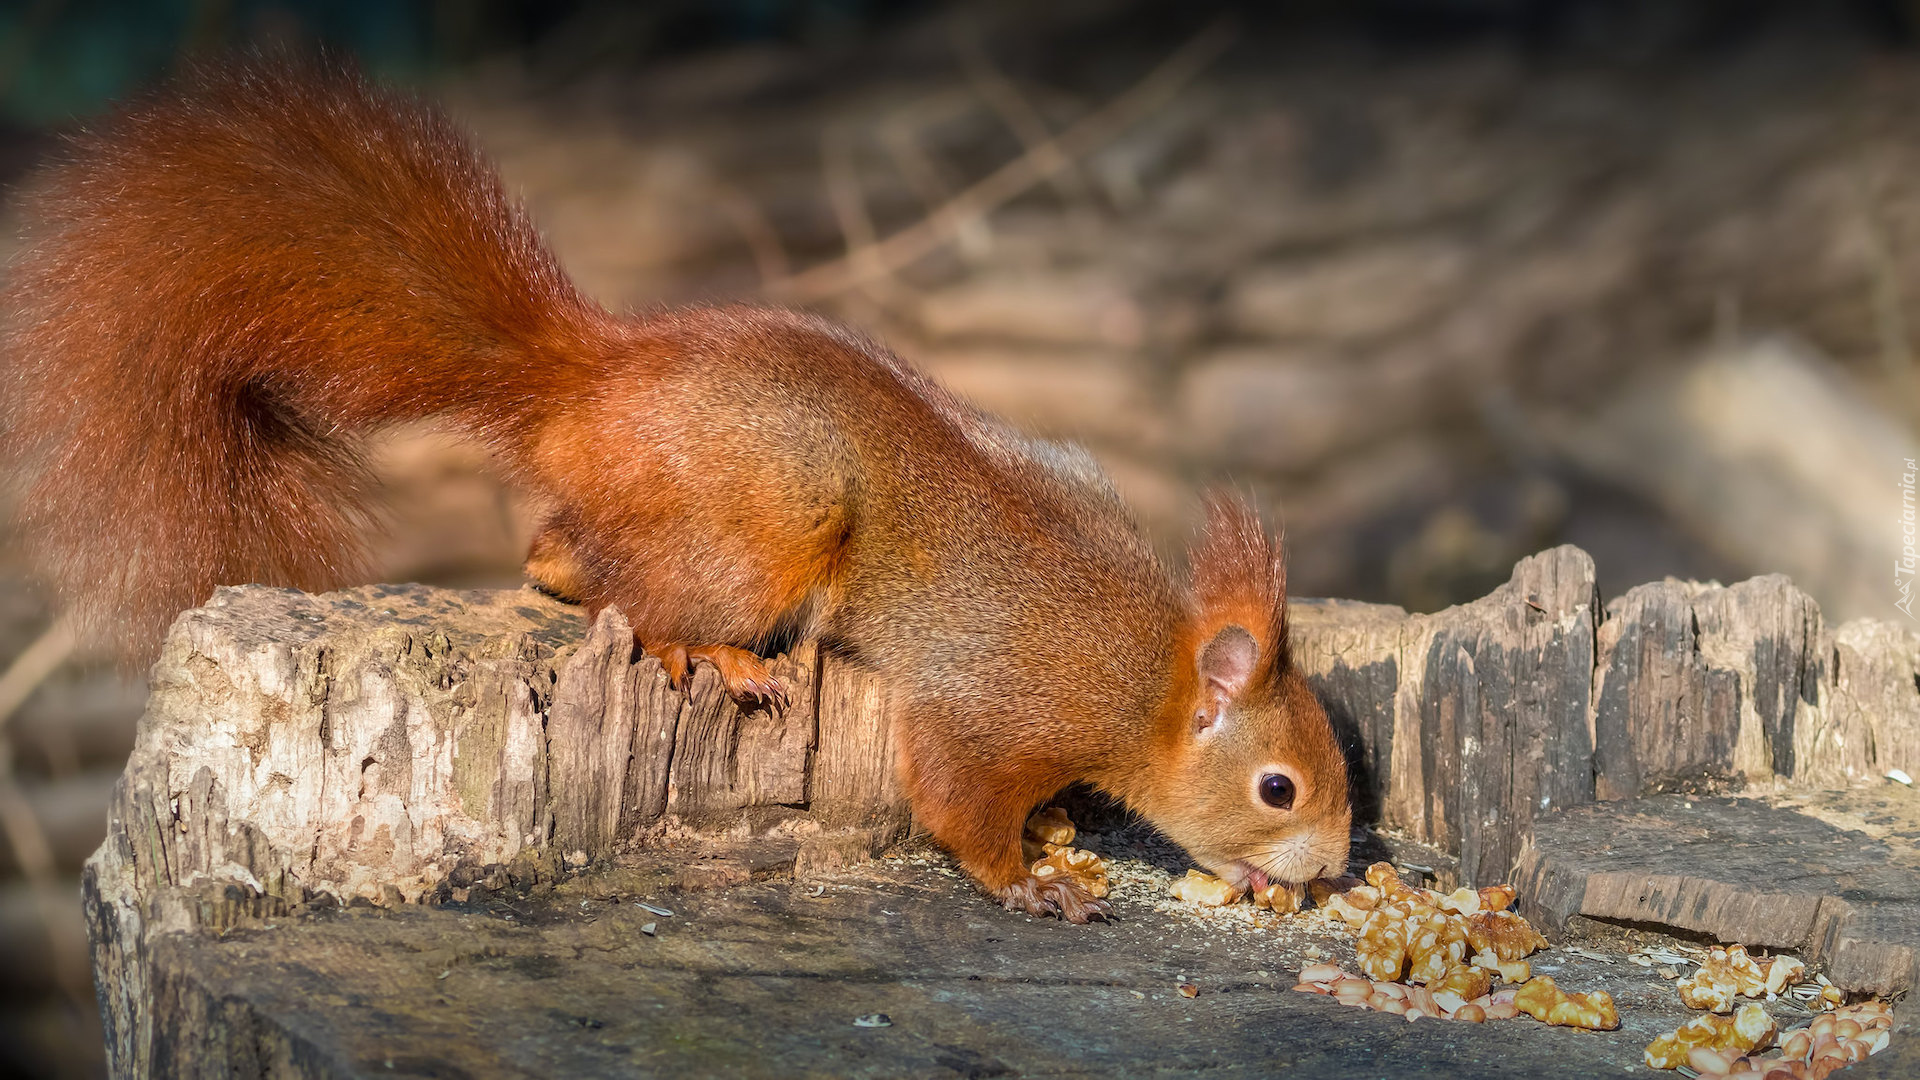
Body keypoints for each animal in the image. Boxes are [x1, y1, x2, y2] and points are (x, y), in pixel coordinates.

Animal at [3, 61, 1351, 914]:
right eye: (1278, 786)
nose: (1334, 867)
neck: (1145, 679)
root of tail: (590, 385)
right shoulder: (998, 705)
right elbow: (958, 803)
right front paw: (1034, 880)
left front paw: (1064, 832)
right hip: (766, 531)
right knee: (635, 598)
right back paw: (721, 656)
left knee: (556, 558)